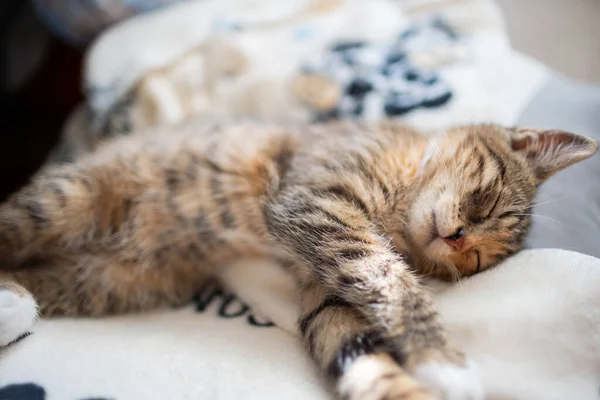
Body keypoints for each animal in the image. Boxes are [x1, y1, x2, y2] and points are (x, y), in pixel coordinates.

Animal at [0, 120, 596, 398]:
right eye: (487, 201)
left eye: (474, 263)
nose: (456, 239)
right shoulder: (317, 204)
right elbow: (389, 276)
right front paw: (447, 363)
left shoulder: (322, 290)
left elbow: (358, 351)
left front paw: (415, 380)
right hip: (64, 202)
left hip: (109, 280)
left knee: (40, 280)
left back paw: (14, 305)